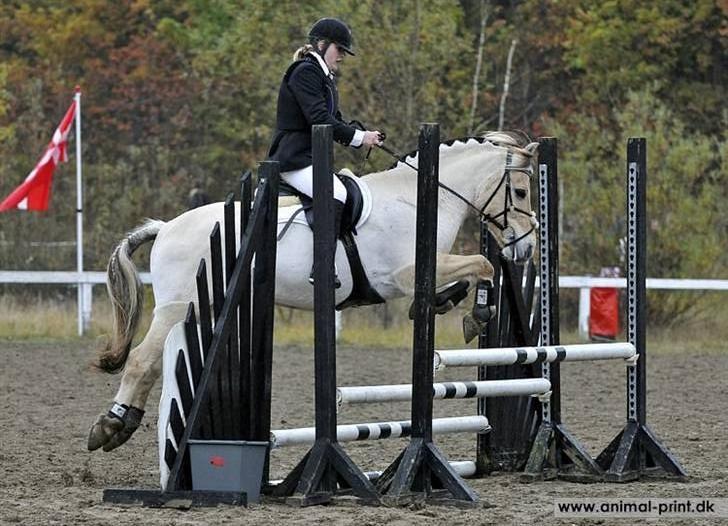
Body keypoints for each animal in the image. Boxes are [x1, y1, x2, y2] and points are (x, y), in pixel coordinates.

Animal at [88, 131, 536, 454]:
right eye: (521, 192)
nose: (528, 246)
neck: (416, 199)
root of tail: (166, 227)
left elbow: (471, 273)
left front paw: (450, 303)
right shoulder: (405, 274)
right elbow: (483, 264)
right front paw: (475, 315)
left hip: (203, 308)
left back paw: (123, 424)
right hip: (178, 308)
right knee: (141, 362)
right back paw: (110, 426)